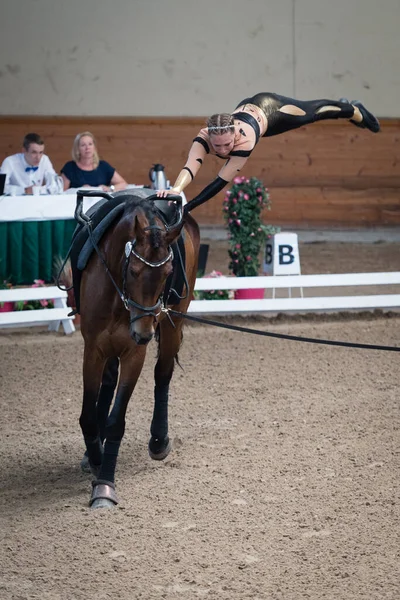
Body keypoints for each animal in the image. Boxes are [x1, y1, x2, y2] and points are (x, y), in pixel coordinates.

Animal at [74, 190, 199, 508]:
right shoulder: (92, 349)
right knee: (108, 382)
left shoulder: (134, 353)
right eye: (133, 269)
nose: (144, 333)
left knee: (163, 374)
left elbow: (117, 420)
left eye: (168, 271)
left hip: (172, 324)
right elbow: (88, 415)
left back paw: (158, 440)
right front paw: (95, 456)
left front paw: (104, 485)